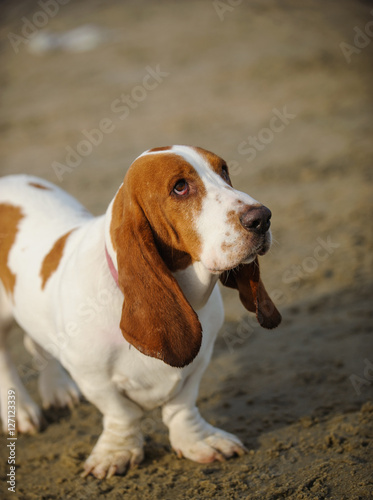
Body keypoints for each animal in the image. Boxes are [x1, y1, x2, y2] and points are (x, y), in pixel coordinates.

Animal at [0, 145, 280, 476]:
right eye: (180, 187)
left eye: (223, 170)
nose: (262, 218)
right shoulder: (93, 377)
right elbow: (122, 414)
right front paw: (115, 453)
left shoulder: (199, 362)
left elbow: (182, 406)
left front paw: (198, 441)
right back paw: (20, 412)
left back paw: (56, 389)